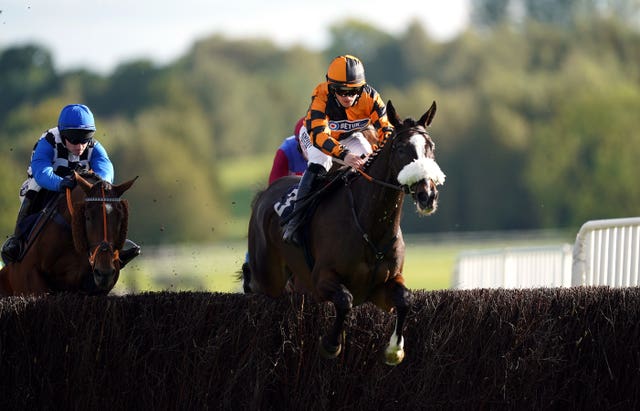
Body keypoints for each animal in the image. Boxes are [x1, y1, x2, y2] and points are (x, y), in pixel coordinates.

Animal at [242, 101, 448, 366]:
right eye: (402, 148)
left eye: (430, 147)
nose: (427, 195)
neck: (371, 226)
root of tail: (263, 195)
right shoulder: (322, 279)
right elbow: (345, 300)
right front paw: (331, 344)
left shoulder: (382, 287)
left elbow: (405, 300)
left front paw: (395, 350)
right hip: (268, 279)